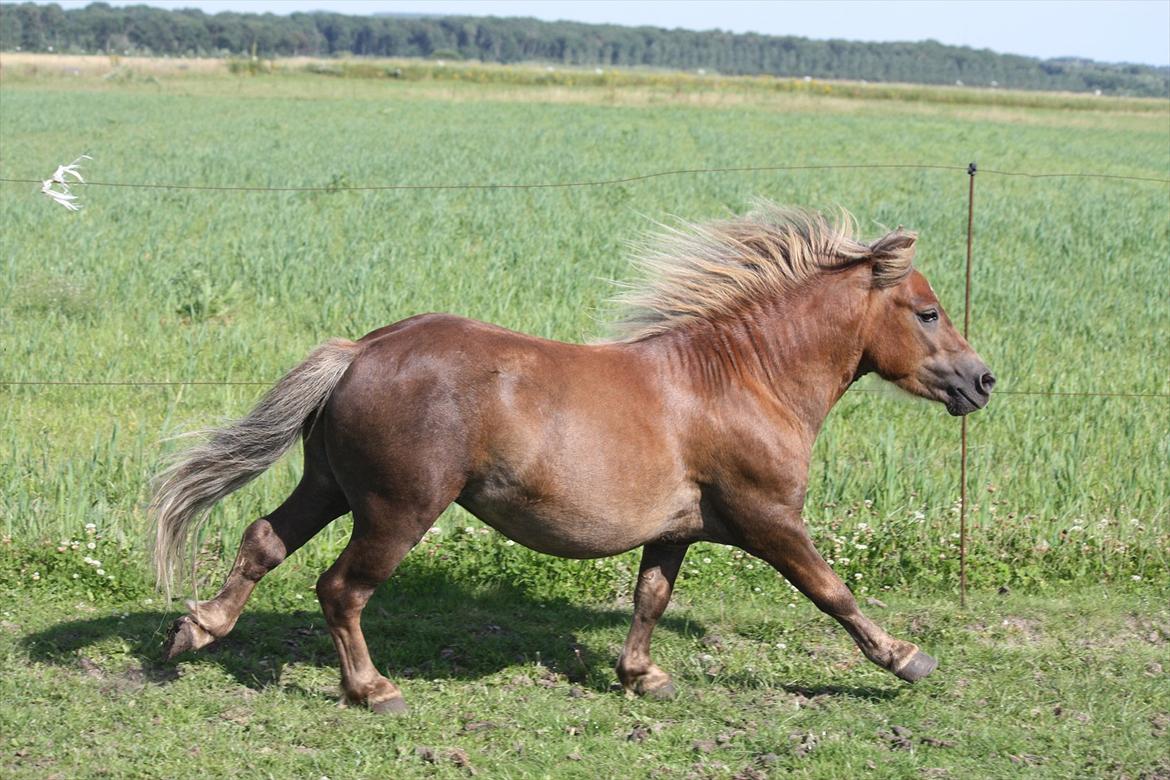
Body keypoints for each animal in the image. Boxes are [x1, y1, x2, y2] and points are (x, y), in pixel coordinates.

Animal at [150, 205, 996, 715]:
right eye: (927, 312)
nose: (981, 380)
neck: (742, 379)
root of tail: (360, 351)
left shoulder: (676, 531)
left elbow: (651, 599)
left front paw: (642, 676)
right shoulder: (769, 518)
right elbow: (832, 591)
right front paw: (906, 659)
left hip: (329, 485)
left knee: (264, 539)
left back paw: (196, 631)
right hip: (397, 508)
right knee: (340, 589)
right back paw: (373, 689)